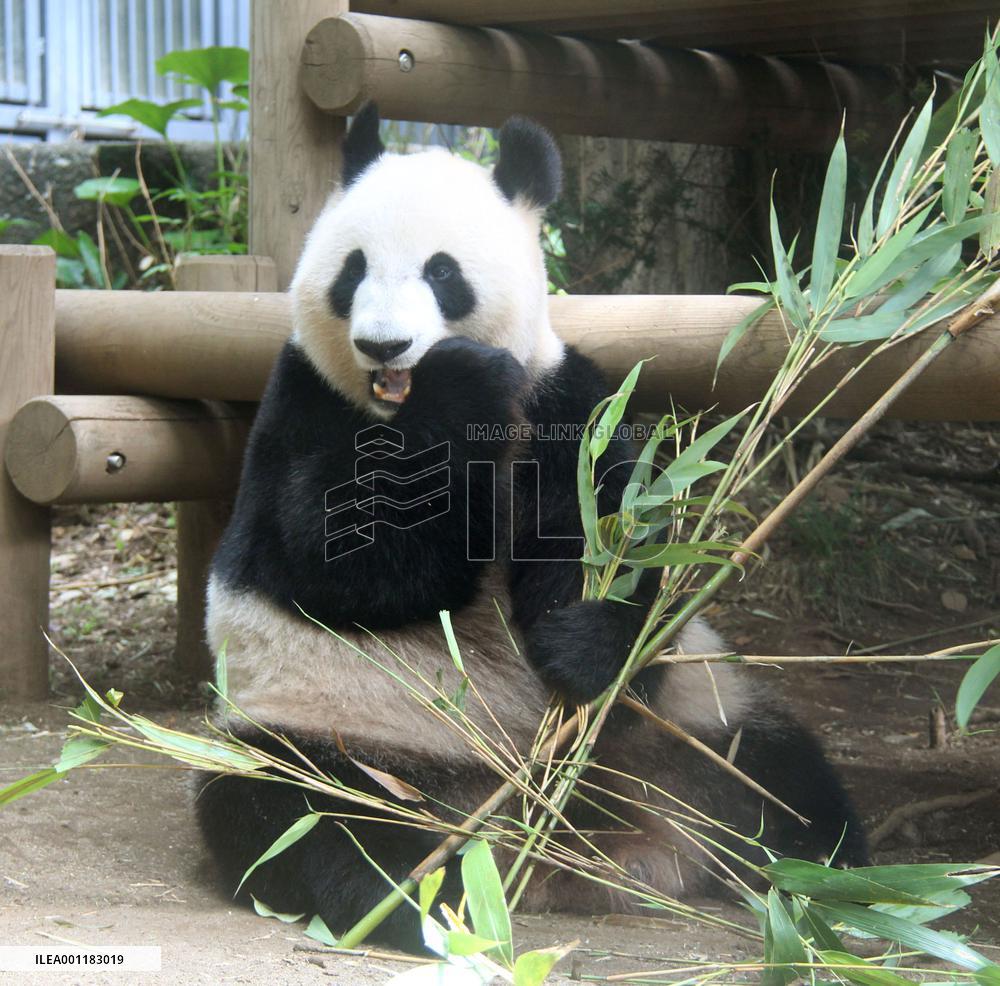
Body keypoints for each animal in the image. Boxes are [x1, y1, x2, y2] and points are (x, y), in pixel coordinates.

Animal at [196, 104, 867, 948]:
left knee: (778, 775)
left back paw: (834, 872)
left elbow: (612, 538)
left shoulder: (562, 401)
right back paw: (424, 897)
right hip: (333, 732)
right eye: (352, 271)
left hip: (688, 719)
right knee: (300, 814)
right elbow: (333, 558)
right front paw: (453, 390)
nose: (384, 345)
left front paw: (580, 642)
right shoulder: (303, 401)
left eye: (442, 272)